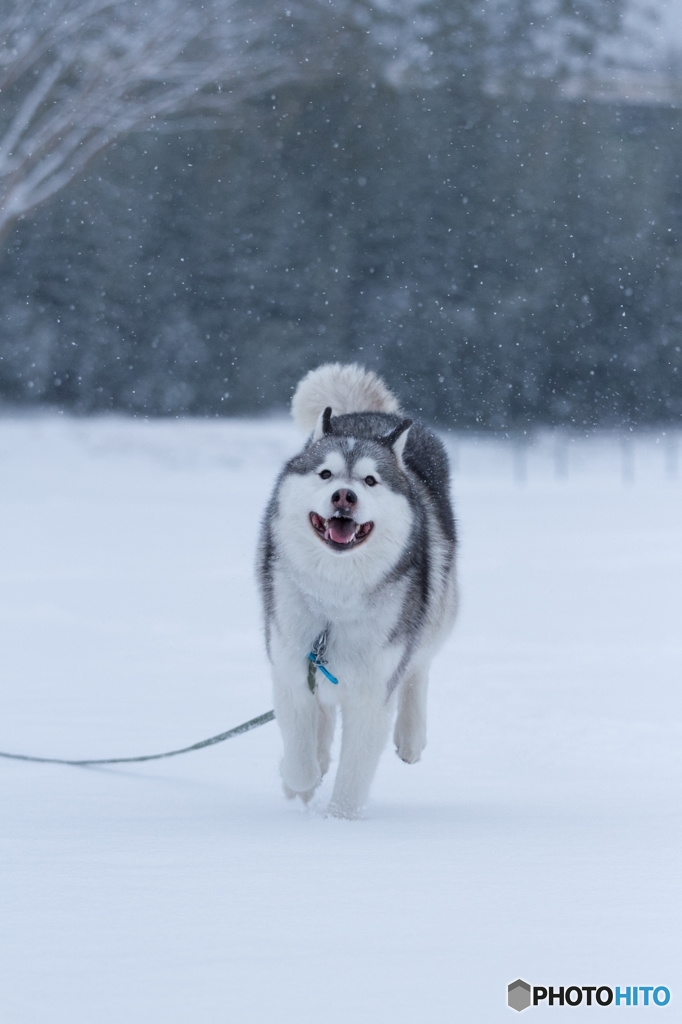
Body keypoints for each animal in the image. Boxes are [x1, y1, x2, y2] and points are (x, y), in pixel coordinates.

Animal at [258, 364, 454, 819]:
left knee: (420, 665)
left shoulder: (372, 692)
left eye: (370, 480)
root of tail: (368, 415)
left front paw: (340, 824)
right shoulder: (291, 668)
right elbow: (301, 759)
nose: (344, 496)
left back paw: (411, 736)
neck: (335, 599)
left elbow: (352, 777)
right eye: (325, 474)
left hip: (438, 607)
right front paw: (299, 776)